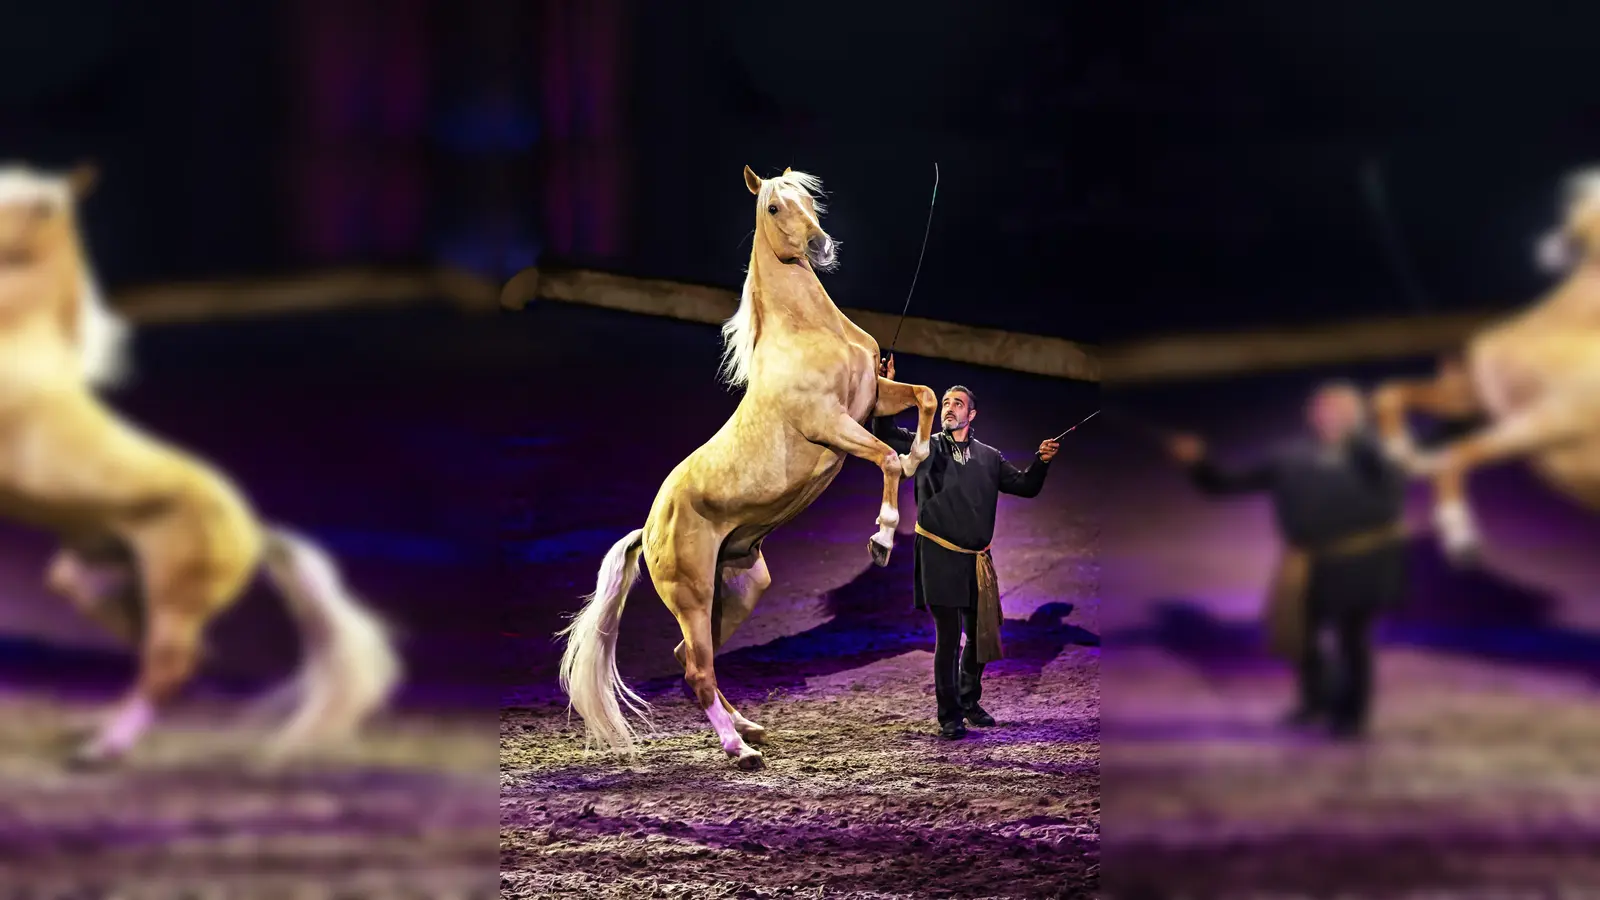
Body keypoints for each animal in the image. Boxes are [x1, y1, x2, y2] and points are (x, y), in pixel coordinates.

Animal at [0, 163, 401, 767]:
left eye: (21, 204)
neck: (25, 337)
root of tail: (257, 531)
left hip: (174, 600)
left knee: (169, 667)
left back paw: (102, 749)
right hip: (104, 582)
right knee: (166, 655)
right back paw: (98, 726)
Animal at [557, 166, 940, 769]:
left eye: (809, 200)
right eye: (774, 208)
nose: (821, 247)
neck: (808, 331)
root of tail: (648, 529)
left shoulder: (873, 398)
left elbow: (924, 397)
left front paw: (922, 452)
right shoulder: (832, 423)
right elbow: (885, 461)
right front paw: (881, 538)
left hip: (737, 589)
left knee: (694, 660)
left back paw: (747, 727)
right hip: (692, 597)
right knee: (697, 669)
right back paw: (739, 750)